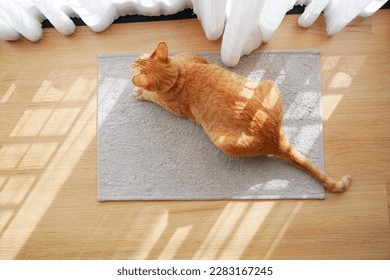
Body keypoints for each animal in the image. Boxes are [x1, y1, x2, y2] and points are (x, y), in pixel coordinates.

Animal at [131, 41, 350, 192]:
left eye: (135, 64)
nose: (133, 60)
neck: (178, 74)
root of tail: (275, 138)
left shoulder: (173, 107)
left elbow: (152, 96)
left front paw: (140, 92)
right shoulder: (198, 58)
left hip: (223, 143)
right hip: (269, 83)